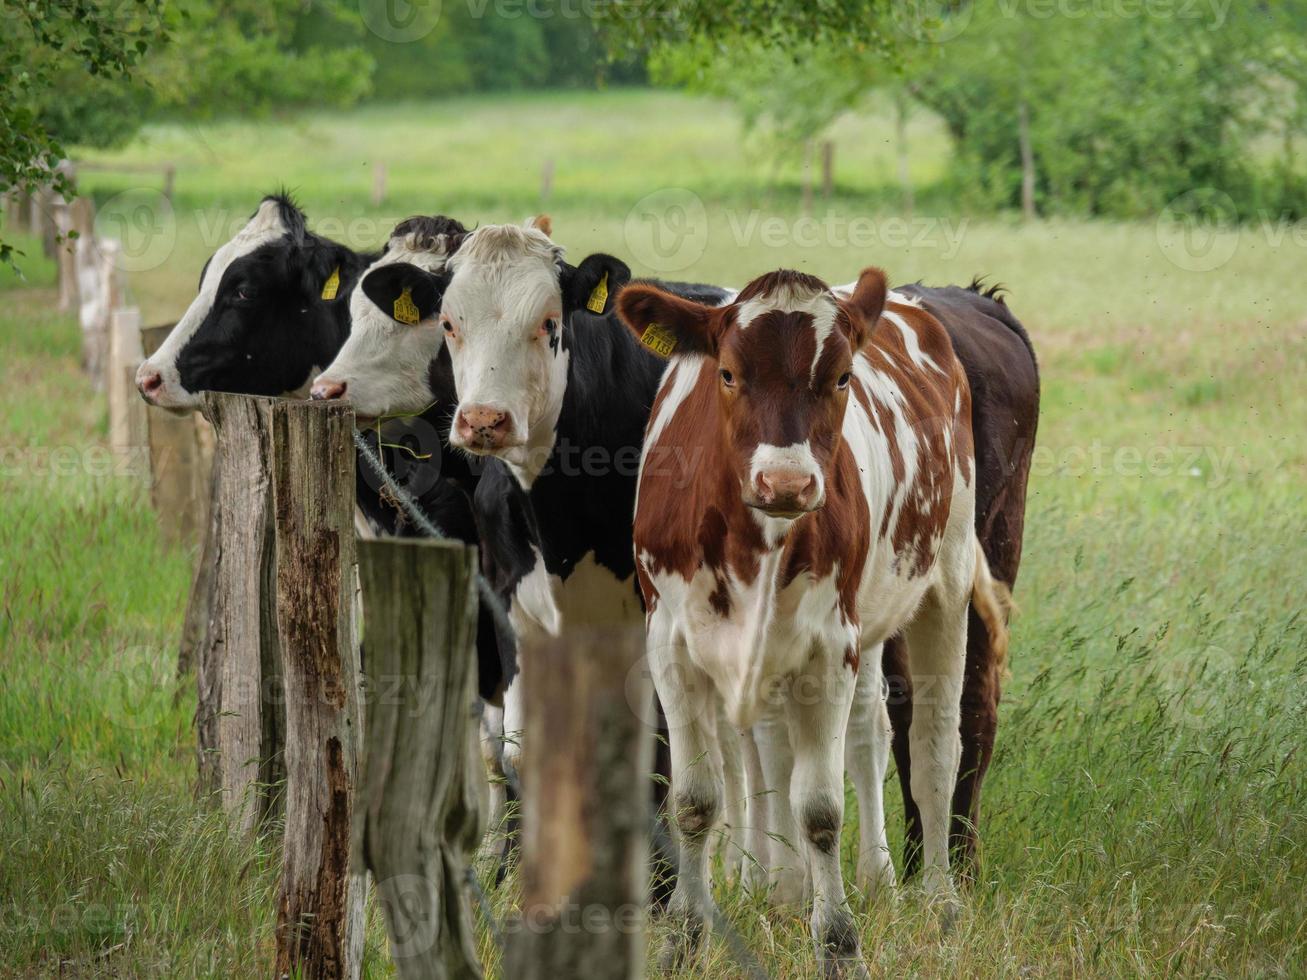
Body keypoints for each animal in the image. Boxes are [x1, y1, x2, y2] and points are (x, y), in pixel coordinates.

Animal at [614, 266, 1009, 977]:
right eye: (728, 373)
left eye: (842, 376)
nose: (786, 484)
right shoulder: (672, 646)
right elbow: (696, 800)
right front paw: (683, 938)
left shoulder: (829, 649)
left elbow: (820, 808)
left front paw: (838, 946)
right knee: (853, 736)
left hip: (948, 578)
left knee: (935, 746)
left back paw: (940, 902)